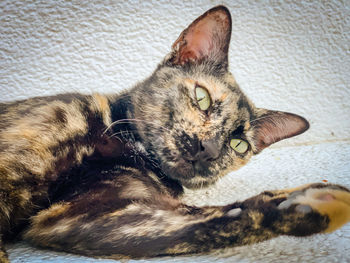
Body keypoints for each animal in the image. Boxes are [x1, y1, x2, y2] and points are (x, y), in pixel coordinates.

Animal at [0, 5, 350, 262]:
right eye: (202, 98)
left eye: (239, 145)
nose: (209, 148)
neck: (133, 150)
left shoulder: (85, 217)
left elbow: (201, 227)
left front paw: (303, 202)